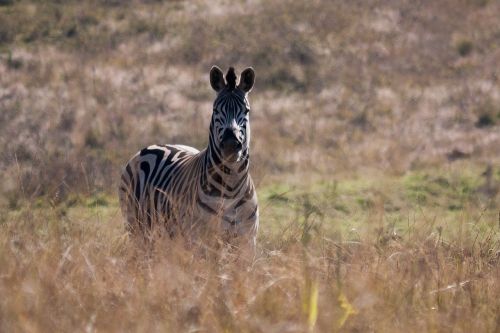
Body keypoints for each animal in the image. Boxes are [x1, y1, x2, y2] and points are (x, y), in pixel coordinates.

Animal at [117, 65, 258, 252]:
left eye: (246, 111)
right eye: (215, 110)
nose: (230, 145)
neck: (230, 188)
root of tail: (155, 145)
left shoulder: (247, 242)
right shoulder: (199, 241)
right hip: (136, 227)